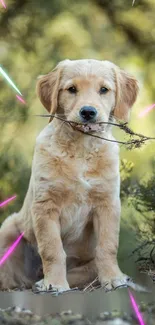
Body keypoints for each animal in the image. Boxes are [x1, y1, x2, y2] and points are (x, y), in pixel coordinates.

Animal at [0, 58, 139, 292]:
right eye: (72, 89)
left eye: (104, 90)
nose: (88, 112)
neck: (81, 148)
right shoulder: (45, 205)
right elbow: (52, 249)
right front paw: (55, 284)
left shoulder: (107, 203)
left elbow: (108, 246)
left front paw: (113, 278)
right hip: (8, 228)